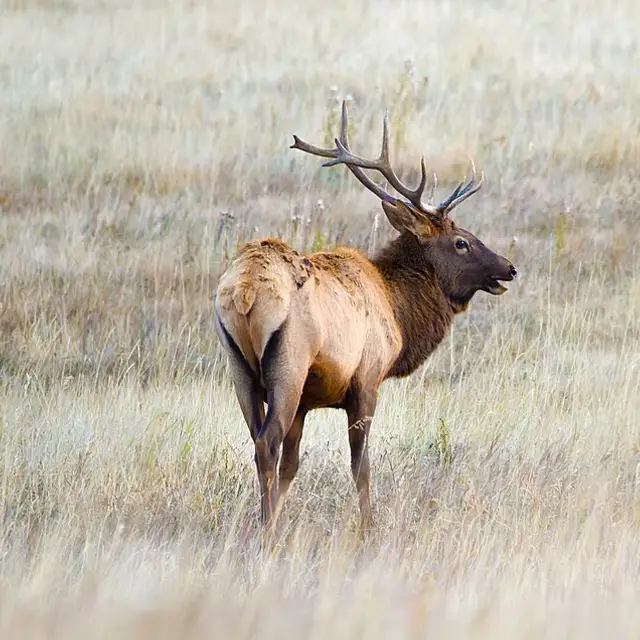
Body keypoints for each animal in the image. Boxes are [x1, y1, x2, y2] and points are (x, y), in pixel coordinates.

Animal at [214, 101, 517, 532]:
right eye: (462, 243)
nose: (509, 268)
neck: (398, 311)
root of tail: (245, 289)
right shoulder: (366, 381)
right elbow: (361, 465)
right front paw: (368, 527)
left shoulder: (307, 402)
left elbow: (292, 466)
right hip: (289, 364)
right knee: (267, 441)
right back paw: (268, 533)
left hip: (240, 369)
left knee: (258, 442)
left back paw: (265, 523)